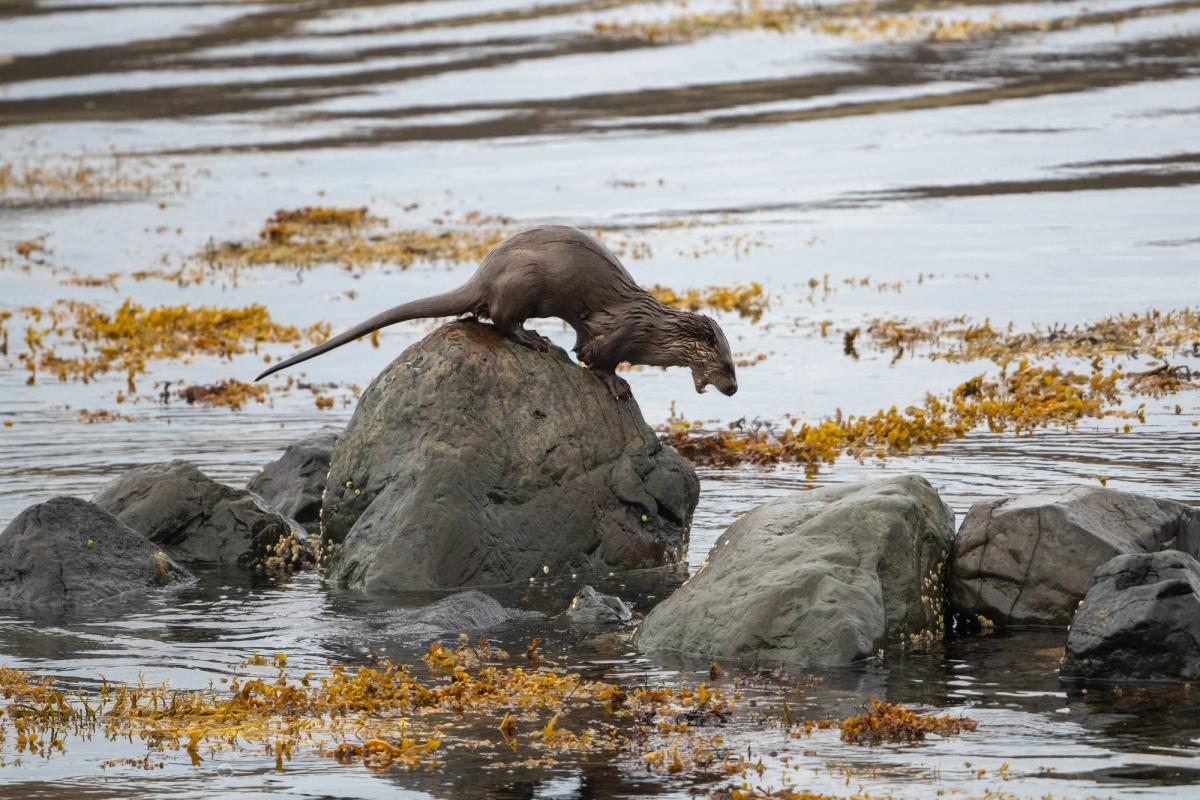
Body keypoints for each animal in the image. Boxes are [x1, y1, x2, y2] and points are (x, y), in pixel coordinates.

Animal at [255, 225, 729, 400]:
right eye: (727, 365)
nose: (735, 389)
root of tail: (484, 273)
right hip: (523, 284)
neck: (654, 329)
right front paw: (617, 384)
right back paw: (535, 340)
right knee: (502, 321)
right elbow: (595, 358)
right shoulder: (620, 331)